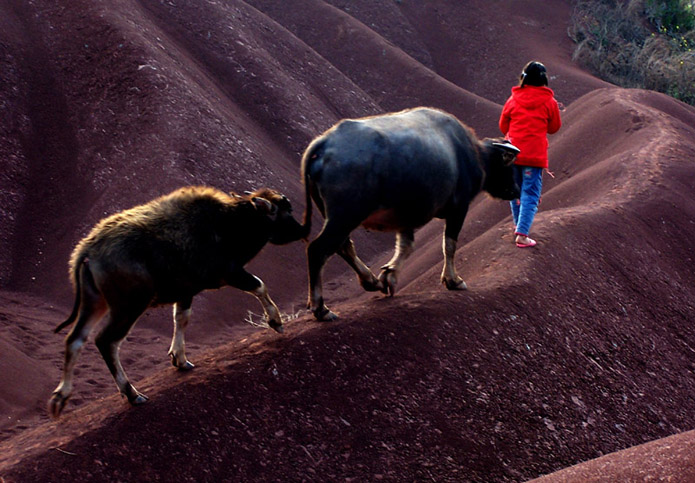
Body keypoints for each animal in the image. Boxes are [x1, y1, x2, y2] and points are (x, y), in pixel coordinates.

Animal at [50, 185, 306, 416]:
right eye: (287, 210)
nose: (303, 230)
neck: (227, 224)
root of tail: (88, 251)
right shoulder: (231, 274)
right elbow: (260, 285)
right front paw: (276, 322)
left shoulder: (186, 292)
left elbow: (181, 319)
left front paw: (180, 360)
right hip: (128, 307)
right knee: (106, 341)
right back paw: (132, 394)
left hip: (95, 303)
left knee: (75, 339)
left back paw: (60, 398)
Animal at [302, 108, 520, 324]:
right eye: (510, 166)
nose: (516, 190)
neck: (471, 154)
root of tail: (323, 143)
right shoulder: (459, 208)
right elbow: (449, 244)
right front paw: (454, 280)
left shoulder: (405, 218)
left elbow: (406, 246)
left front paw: (389, 276)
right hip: (345, 217)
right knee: (318, 250)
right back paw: (321, 308)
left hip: (336, 217)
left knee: (344, 246)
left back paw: (371, 281)